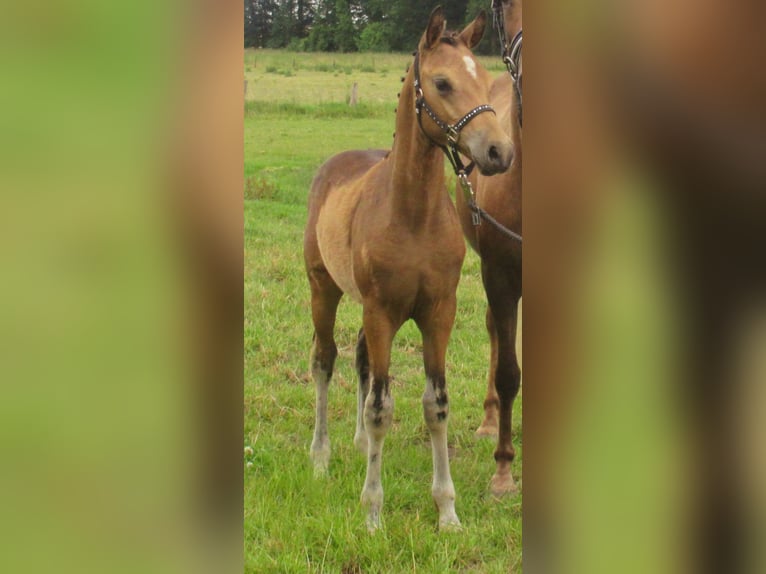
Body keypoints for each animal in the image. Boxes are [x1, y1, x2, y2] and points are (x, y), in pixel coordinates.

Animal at [304, 6, 512, 532]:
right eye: (442, 82)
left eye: (486, 82)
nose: (500, 152)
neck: (413, 215)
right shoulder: (381, 311)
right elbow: (381, 407)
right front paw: (373, 513)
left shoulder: (439, 312)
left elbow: (435, 405)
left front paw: (448, 511)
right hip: (323, 288)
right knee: (325, 360)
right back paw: (320, 456)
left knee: (358, 359)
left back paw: (359, 445)